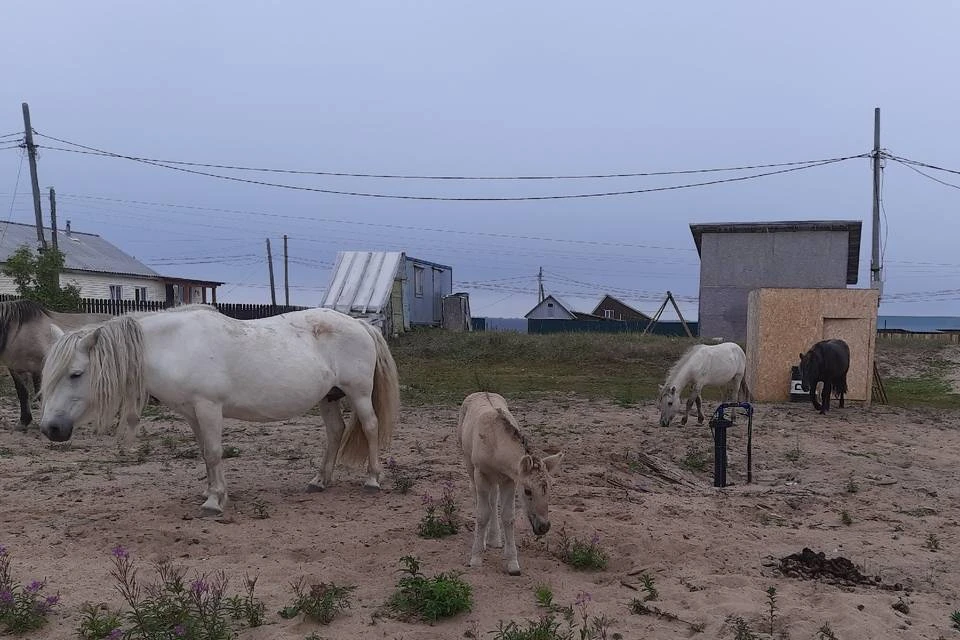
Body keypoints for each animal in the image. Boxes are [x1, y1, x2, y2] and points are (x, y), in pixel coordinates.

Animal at [39, 304, 400, 516]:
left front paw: (214, 501)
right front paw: (213, 490)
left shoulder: (208, 407)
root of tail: (360, 325)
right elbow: (205, 452)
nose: (51, 429)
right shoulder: (191, 413)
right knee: (335, 432)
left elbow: (214, 452)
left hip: (358, 393)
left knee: (369, 426)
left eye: (76, 374)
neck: (175, 345)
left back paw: (372, 479)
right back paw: (319, 481)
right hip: (328, 397)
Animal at [458, 390, 564, 576]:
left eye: (550, 489)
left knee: (493, 500)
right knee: (477, 497)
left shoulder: (509, 480)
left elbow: (508, 517)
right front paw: (476, 558)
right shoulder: (481, 474)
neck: (495, 445)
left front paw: (513, 563)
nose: (544, 527)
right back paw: (483, 541)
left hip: (494, 480)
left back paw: (494, 539)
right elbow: (482, 514)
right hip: (470, 465)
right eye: (528, 491)